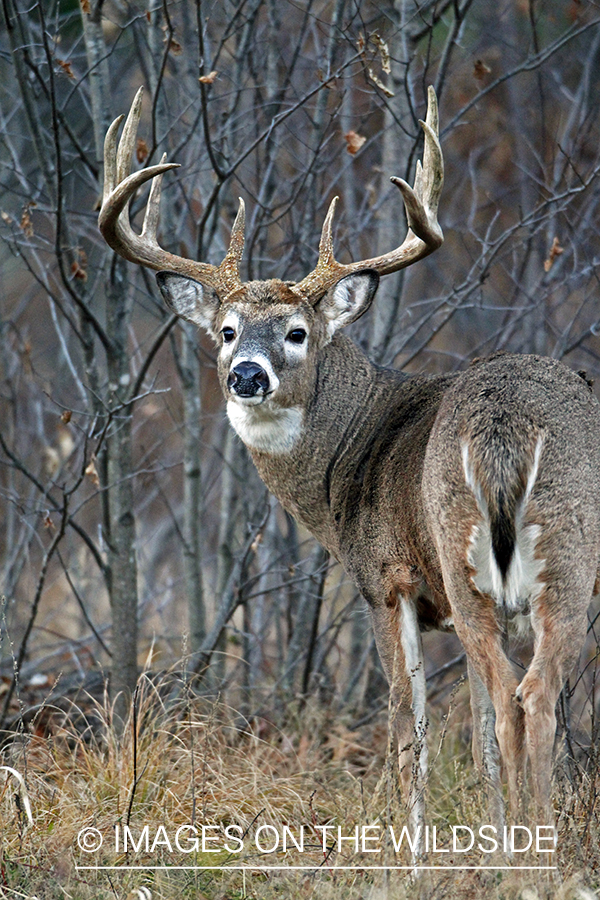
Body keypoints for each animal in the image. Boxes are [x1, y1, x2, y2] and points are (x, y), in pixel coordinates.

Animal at [98, 88, 600, 832]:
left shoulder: (386, 579)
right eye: (226, 331)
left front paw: (412, 843)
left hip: (488, 560)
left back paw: (531, 847)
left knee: (523, 697)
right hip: (557, 566)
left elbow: (410, 729)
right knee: (527, 697)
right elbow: (480, 740)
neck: (351, 455)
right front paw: (486, 833)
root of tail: (504, 425)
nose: (246, 375)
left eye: (296, 333)